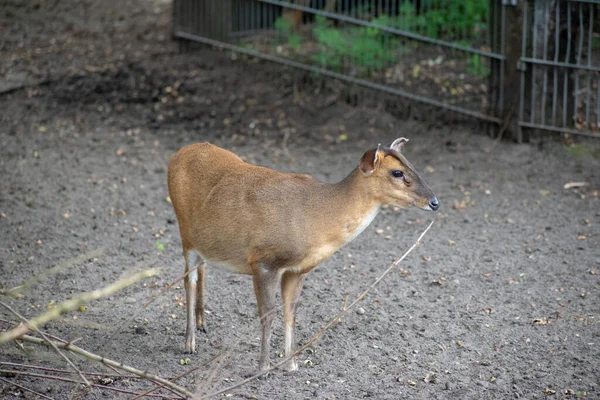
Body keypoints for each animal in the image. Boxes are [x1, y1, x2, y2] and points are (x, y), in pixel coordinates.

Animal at [166, 138, 438, 372]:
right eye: (397, 173)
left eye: (412, 166)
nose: (434, 201)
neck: (315, 221)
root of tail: (180, 152)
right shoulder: (263, 261)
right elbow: (268, 314)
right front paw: (263, 368)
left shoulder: (297, 270)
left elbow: (291, 312)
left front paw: (291, 365)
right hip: (185, 232)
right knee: (188, 279)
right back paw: (189, 342)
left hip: (205, 241)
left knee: (202, 268)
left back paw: (202, 324)